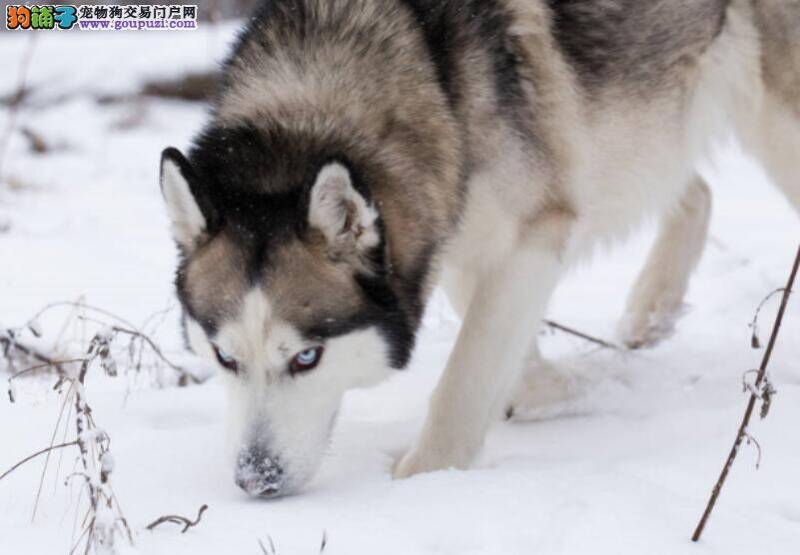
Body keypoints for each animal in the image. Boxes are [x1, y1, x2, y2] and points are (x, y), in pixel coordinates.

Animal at [159, 1, 800, 500]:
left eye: (307, 358)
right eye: (224, 357)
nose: (254, 481)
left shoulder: (531, 234)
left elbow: (464, 380)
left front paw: (423, 478)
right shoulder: (459, 236)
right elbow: (501, 354)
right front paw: (568, 387)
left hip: (773, 124)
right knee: (696, 191)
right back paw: (651, 312)